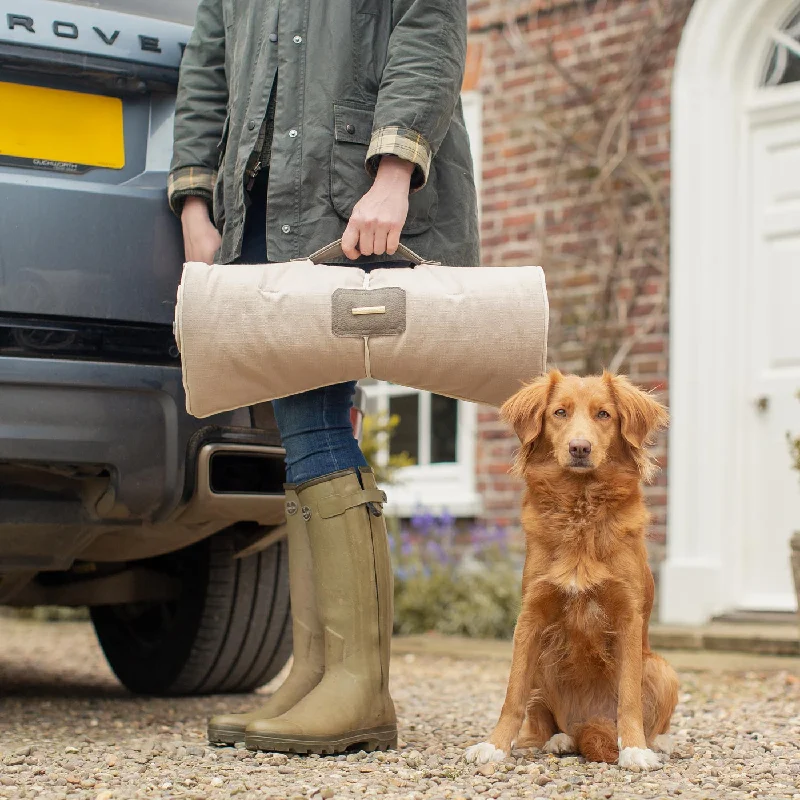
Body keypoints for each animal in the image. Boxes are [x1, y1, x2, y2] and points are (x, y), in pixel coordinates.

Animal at [466, 372, 680, 772]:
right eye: (560, 412)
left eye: (604, 414)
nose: (580, 448)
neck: (581, 507)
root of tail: (587, 722)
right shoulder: (530, 617)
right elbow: (513, 695)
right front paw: (495, 746)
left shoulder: (628, 616)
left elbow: (629, 697)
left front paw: (634, 749)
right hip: (543, 662)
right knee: (546, 722)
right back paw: (559, 739)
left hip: (662, 669)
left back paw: (657, 743)